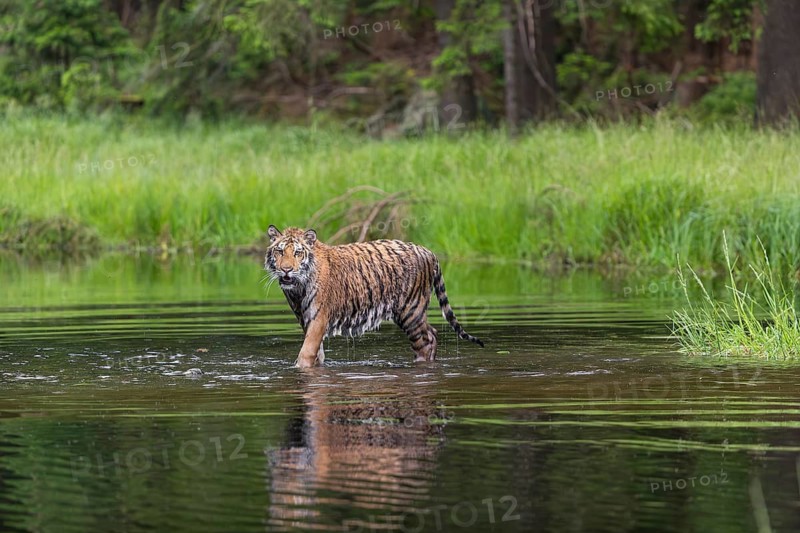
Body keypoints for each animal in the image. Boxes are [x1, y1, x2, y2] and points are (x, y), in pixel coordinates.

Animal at [264, 225, 484, 368]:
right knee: (432, 333)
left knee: (427, 340)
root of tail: (428, 251)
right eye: (280, 251)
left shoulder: (319, 319)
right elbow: (317, 354)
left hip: (410, 310)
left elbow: (306, 353)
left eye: (298, 253)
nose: (286, 270)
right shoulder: (305, 319)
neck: (297, 289)